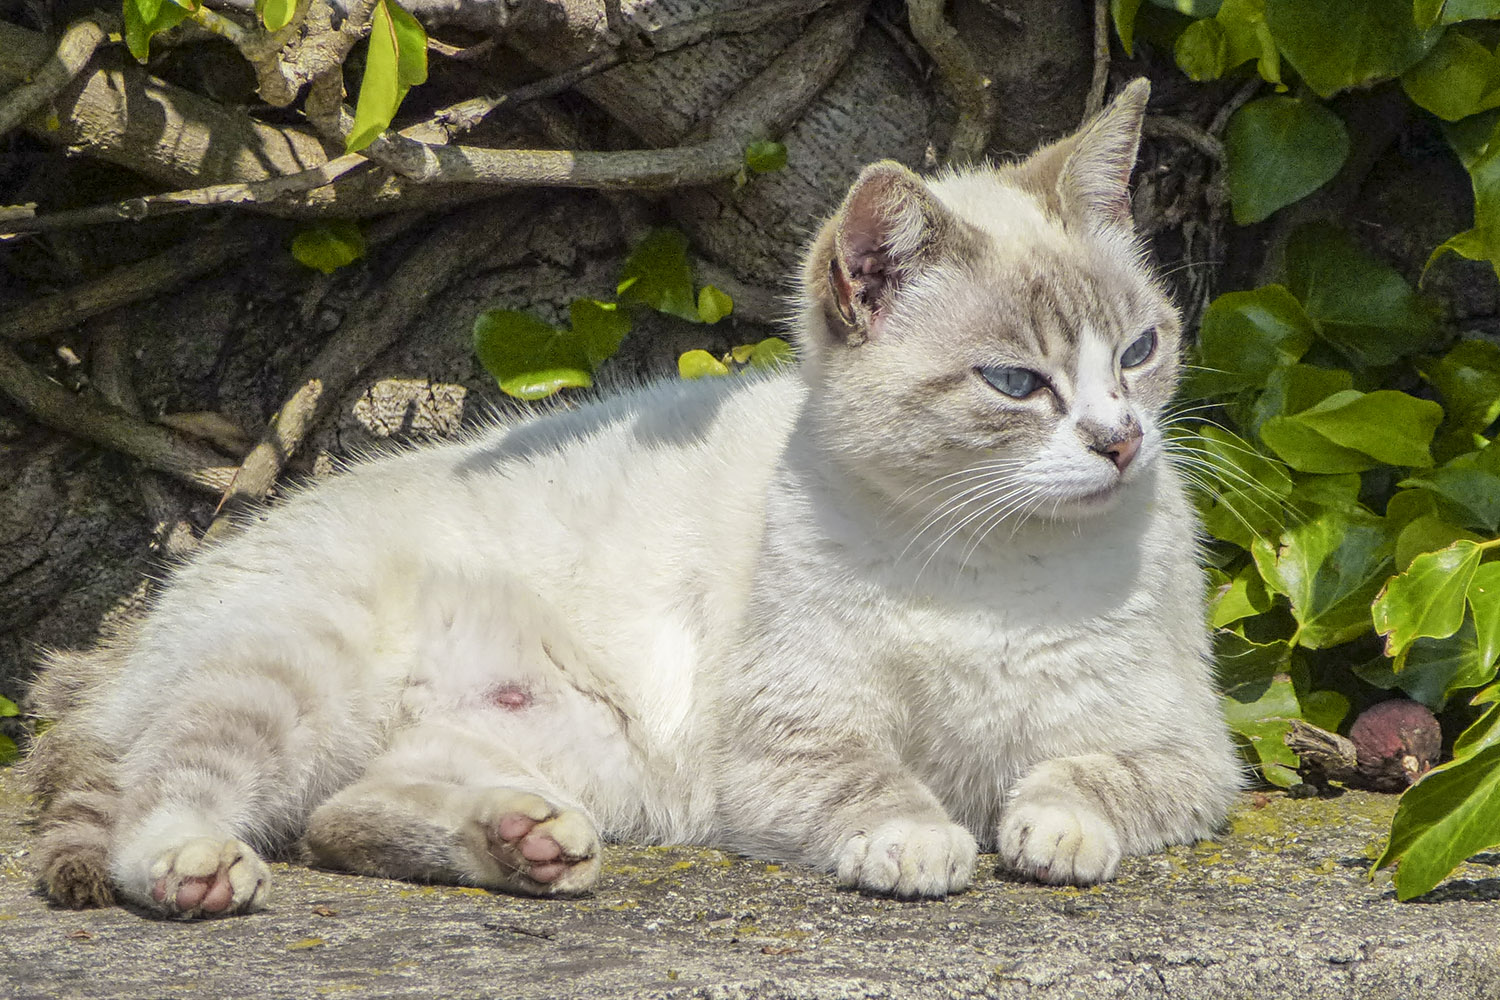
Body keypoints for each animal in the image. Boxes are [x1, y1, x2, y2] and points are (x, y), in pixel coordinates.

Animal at [23, 82, 1242, 917]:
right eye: (1016, 384)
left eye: (1139, 351)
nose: (1122, 440)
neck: (993, 565)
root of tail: (130, 635)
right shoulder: (790, 739)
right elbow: (872, 784)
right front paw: (920, 839)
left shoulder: (1187, 745)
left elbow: (1094, 775)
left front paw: (1049, 826)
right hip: (289, 674)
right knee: (170, 791)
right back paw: (196, 864)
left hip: (571, 761)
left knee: (342, 817)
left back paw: (524, 844)